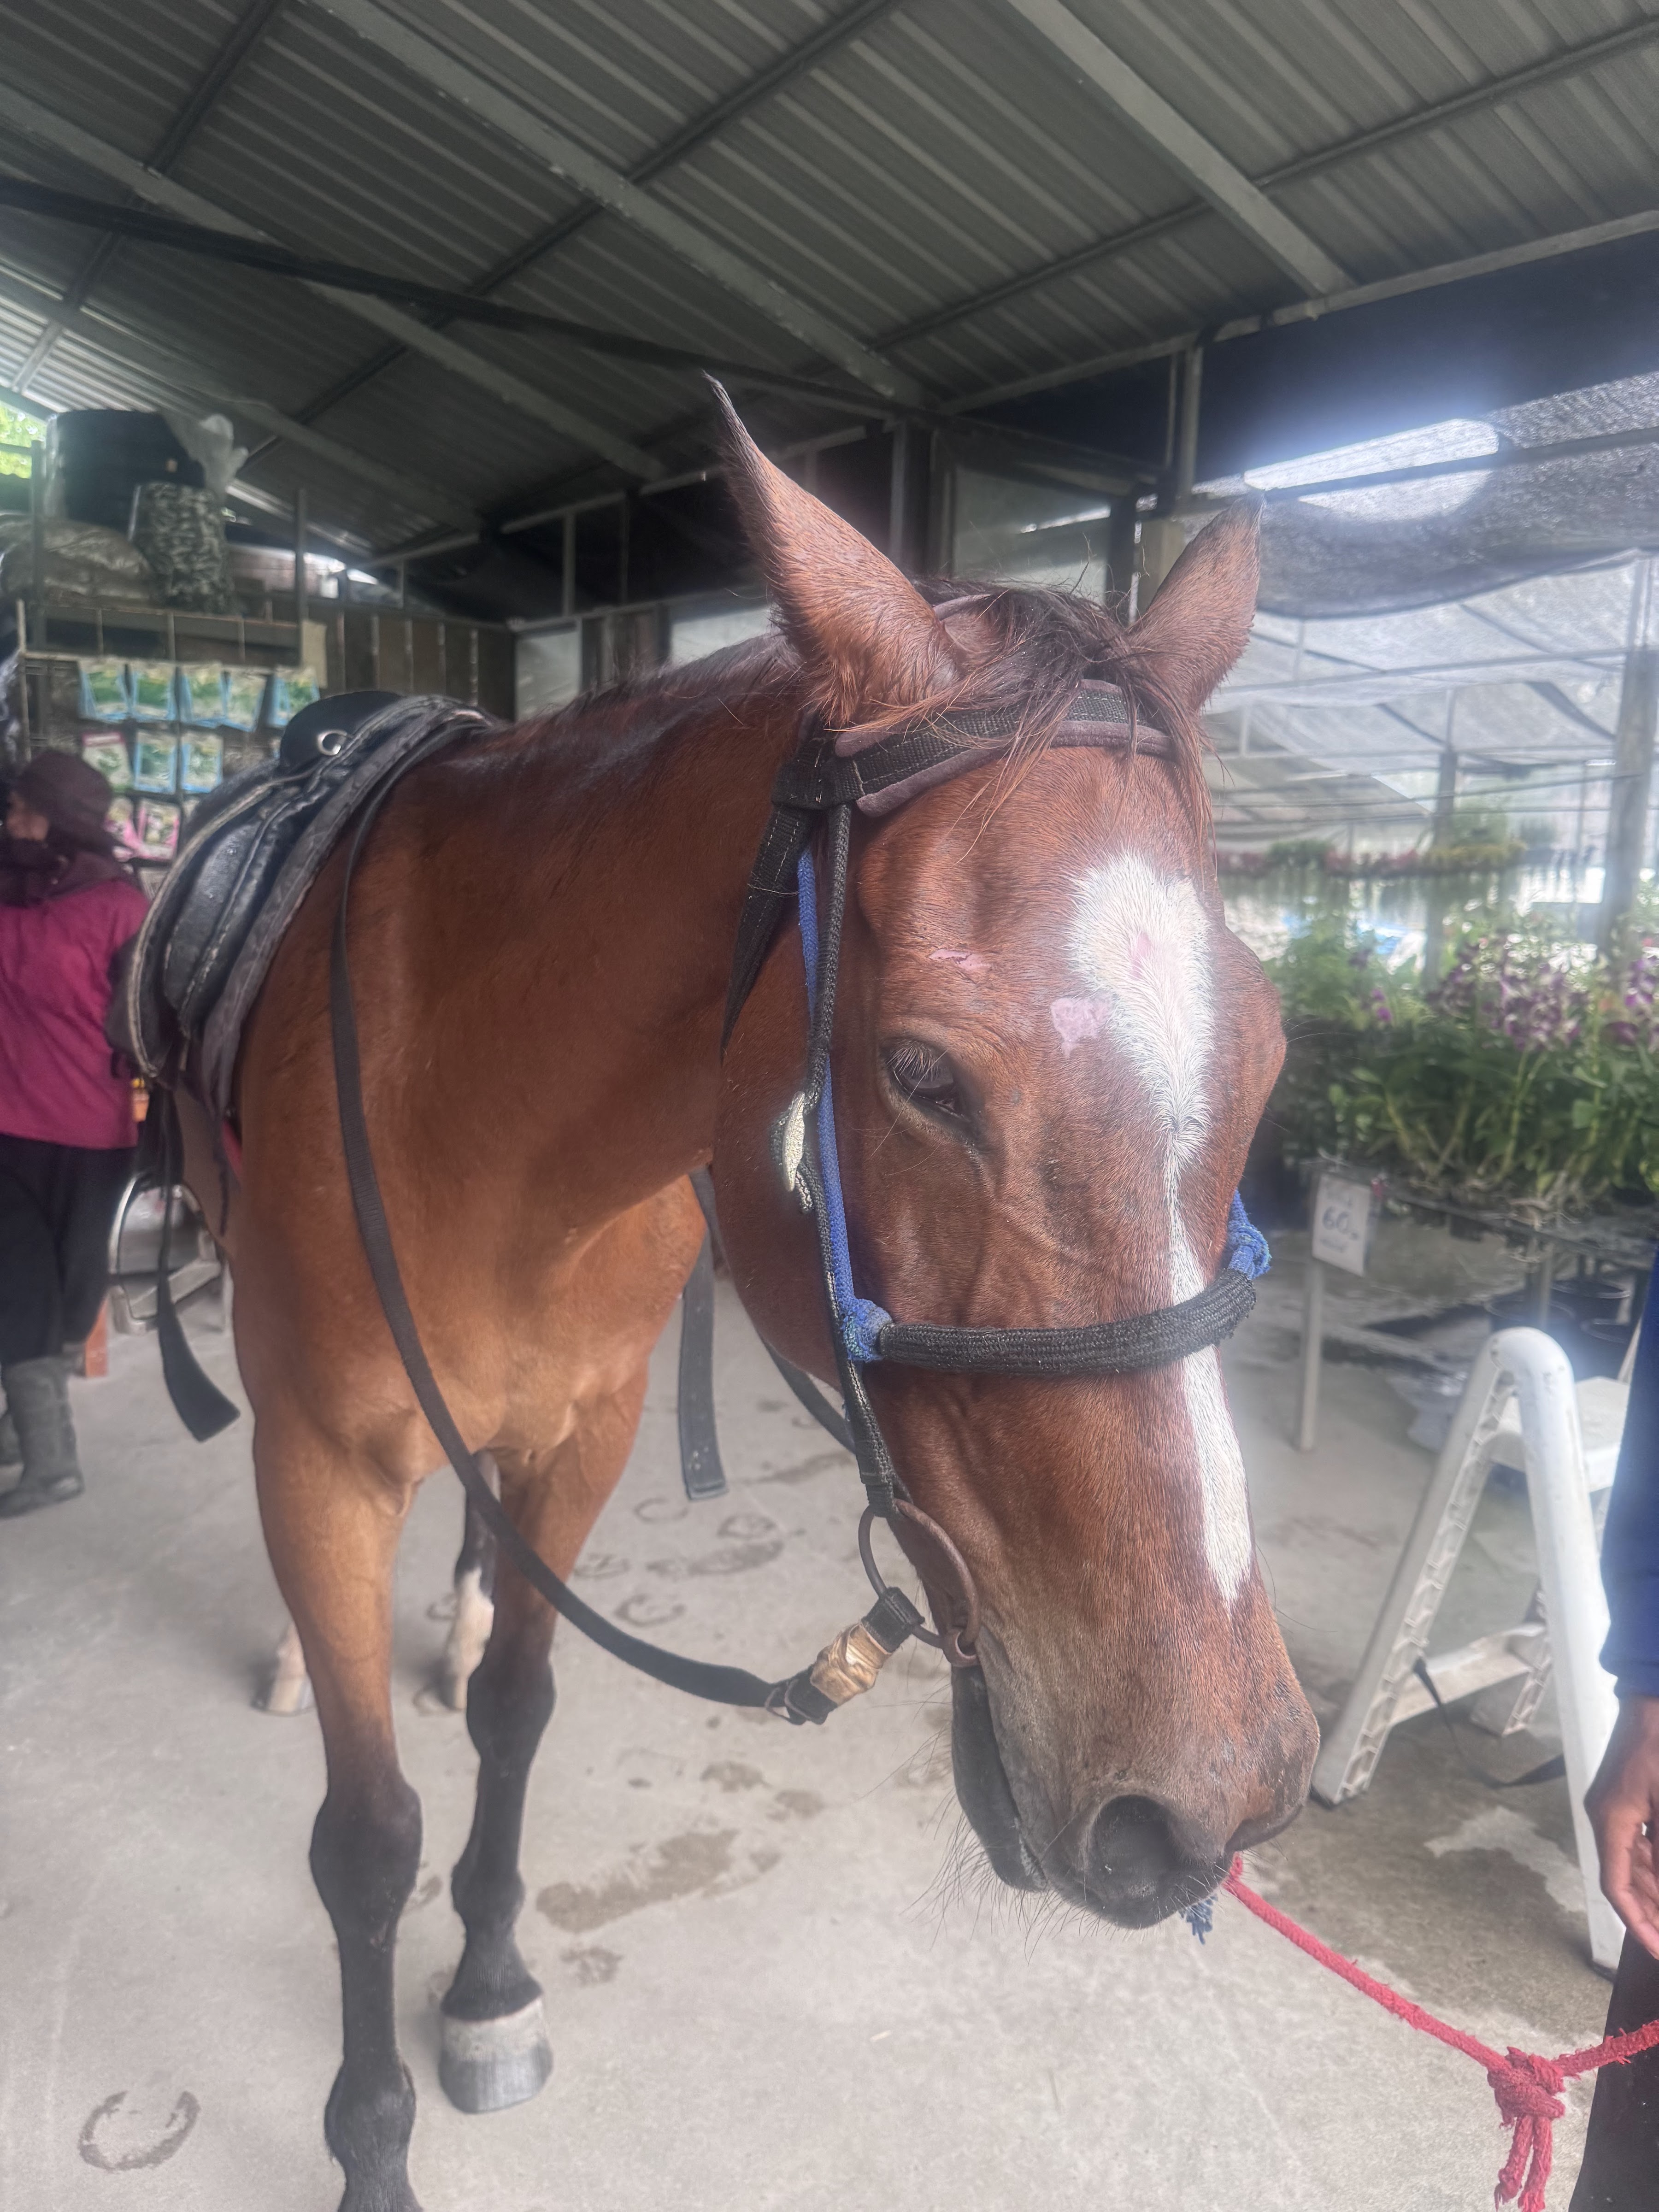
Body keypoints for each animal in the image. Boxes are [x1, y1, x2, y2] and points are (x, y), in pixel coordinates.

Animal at [175, 404, 1318, 2211]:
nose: (1219, 1796)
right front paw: (373, 2147)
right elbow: (366, 1839)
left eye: (1270, 1058)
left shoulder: (586, 1430)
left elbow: (517, 1714)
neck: (482, 1112)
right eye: (921, 1076)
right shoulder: (323, 1461)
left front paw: (488, 1984)